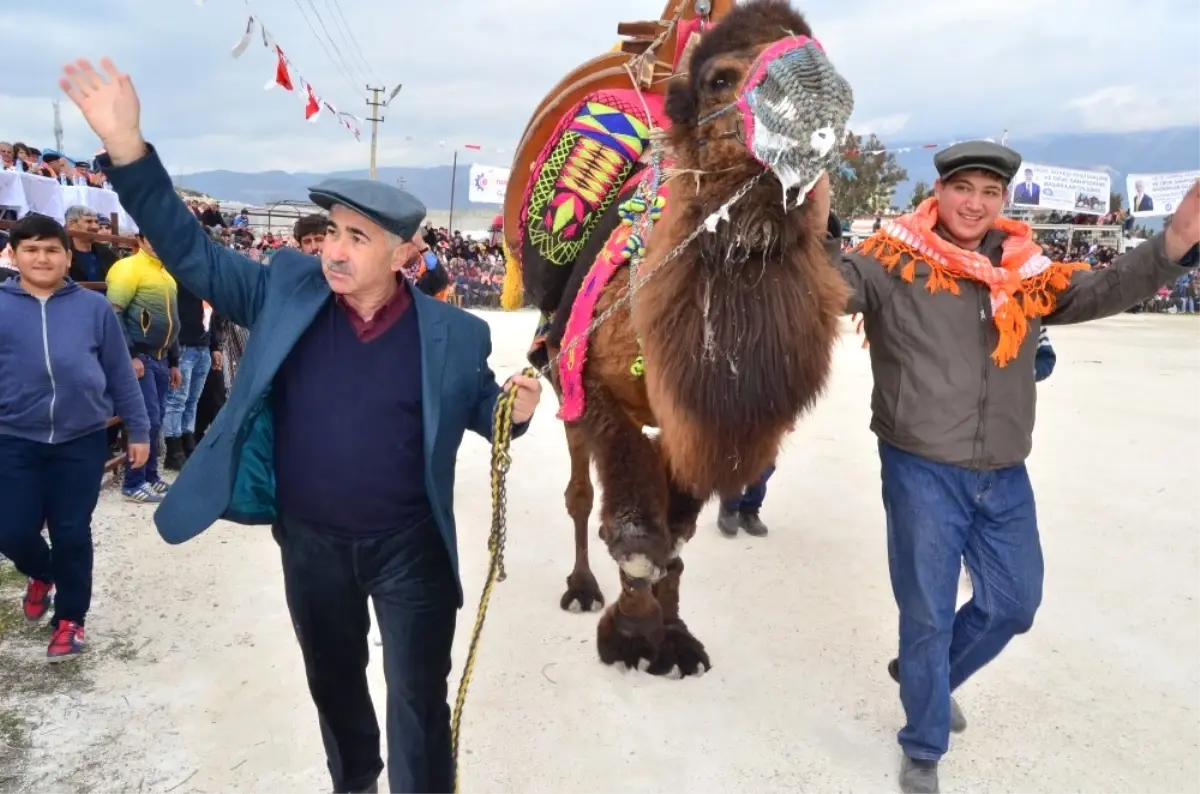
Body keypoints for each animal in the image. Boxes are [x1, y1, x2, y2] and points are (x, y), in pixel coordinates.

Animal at [501, 0, 859, 676]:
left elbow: (677, 535)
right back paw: (582, 589)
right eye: (721, 78)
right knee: (579, 494)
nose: (823, 101)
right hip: (561, 377)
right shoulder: (595, 389)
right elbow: (638, 536)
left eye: (823, 54)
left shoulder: (702, 422)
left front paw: (674, 637)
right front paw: (630, 636)